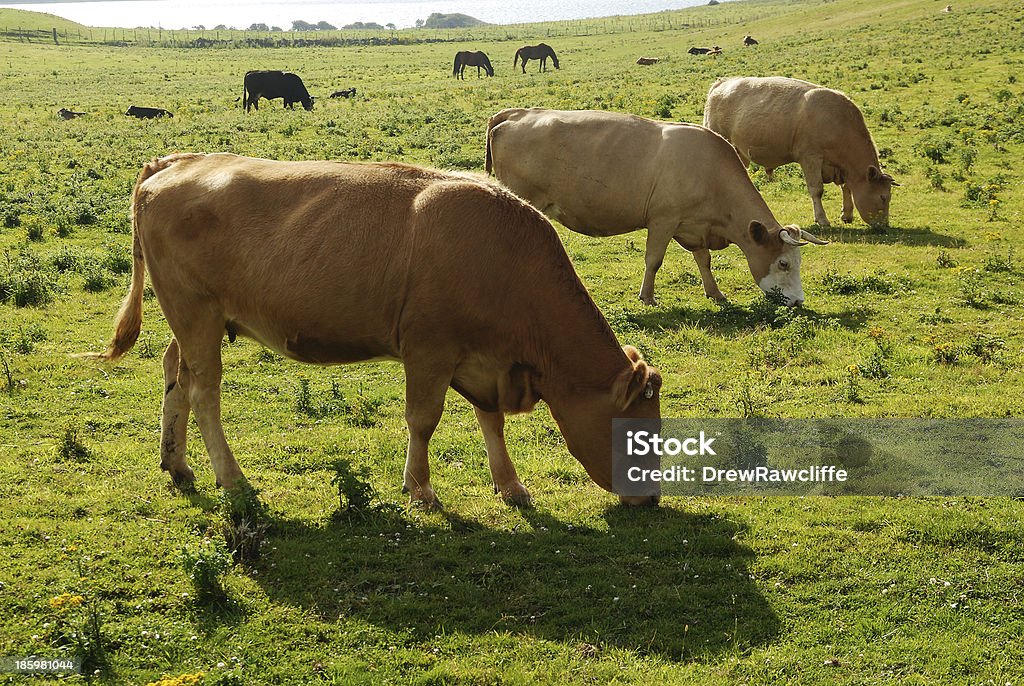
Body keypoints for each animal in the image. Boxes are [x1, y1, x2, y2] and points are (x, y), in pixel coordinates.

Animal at [90, 155, 663, 509]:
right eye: (636, 434)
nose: (653, 496)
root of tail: (176, 163)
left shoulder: (484, 360)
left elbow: (491, 421)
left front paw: (510, 485)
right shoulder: (430, 349)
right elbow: (423, 420)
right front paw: (421, 489)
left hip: (195, 318)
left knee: (175, 372)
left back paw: (177, 463)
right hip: (196, 312)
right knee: (204, 392)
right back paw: (231, 477)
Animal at [483, 109, 827, 307]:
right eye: (783, 263)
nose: (798, 301)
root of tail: (513, 115)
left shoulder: (694, 226)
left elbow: (704, 260)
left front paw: (714, 292)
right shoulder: (664, 220)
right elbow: (654, 260)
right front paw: (647, 296)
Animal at [704, 75, 897, 228]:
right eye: (883, 197)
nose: (884, 226)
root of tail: (722, 83)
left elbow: (846, 187)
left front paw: (847, 214)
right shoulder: (811, 158)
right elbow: (817, 190)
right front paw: (822, 219)